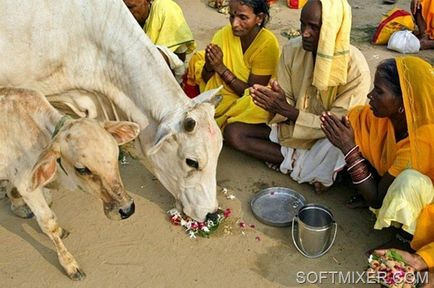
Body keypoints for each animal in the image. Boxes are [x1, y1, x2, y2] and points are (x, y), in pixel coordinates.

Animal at [0, 87, 140, 280]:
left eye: (115, 153)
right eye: (82, 169)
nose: (126, 209)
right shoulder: (26, 185)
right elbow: (48, 223)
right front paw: (70, 265)